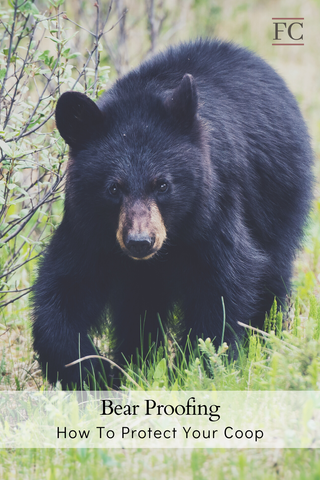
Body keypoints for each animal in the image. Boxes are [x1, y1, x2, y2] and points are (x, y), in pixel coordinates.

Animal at [31, 39, 312, 388]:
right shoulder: (89, 227)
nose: (140, 242)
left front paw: (198, 370)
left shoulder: (212, 209)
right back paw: (134, 363)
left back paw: (267, 344)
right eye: (113, 188)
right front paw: (90, 373)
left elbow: (223, 284)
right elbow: (65, 288)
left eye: (163, 185)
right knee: (138, 308)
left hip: (278, 199)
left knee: (273, 274)